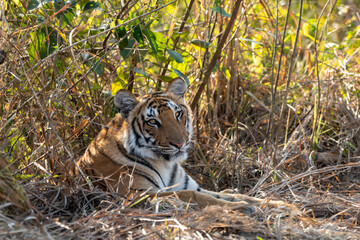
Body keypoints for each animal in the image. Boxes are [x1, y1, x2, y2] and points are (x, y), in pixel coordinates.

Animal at [74, 78, 278, 207]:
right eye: (152, 122)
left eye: (178, 114)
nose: (180, 144)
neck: (165, 163)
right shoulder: (137, 194)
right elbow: (192, 196)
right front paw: (241, 207)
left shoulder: (189, 185)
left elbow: (230, 195)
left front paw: (277, 205)